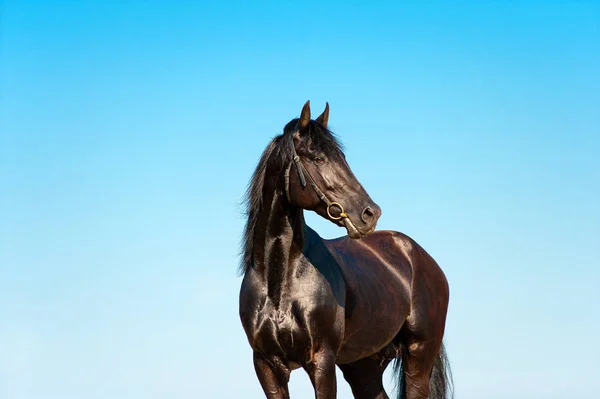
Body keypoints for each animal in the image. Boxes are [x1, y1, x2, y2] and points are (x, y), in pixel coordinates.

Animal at [237, 101, 452, 398]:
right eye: (318, 159)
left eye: (342, 158)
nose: (370, 213)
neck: (279, 280)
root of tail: (420, 256)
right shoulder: (267, 366)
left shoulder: (322, 361)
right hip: (363, 366)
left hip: (419, 356)